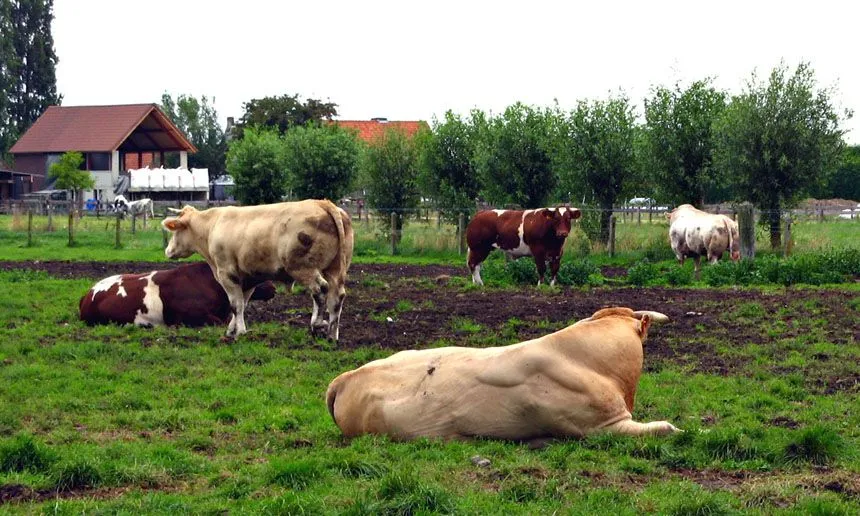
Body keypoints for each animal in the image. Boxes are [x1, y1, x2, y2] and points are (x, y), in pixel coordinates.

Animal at [161, 200, 352, 340]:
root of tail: (322, 203)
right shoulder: (247, 279)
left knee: (320, 290)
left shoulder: (227, 274)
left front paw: (240, 332)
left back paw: (317, 324)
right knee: (336, 297)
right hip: (335, 269)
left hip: (303, 268)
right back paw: (332, 335)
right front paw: (231, 330)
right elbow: (242, 304)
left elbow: (236, 305)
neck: (212, 226)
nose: (167, 251)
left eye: (175, 231)